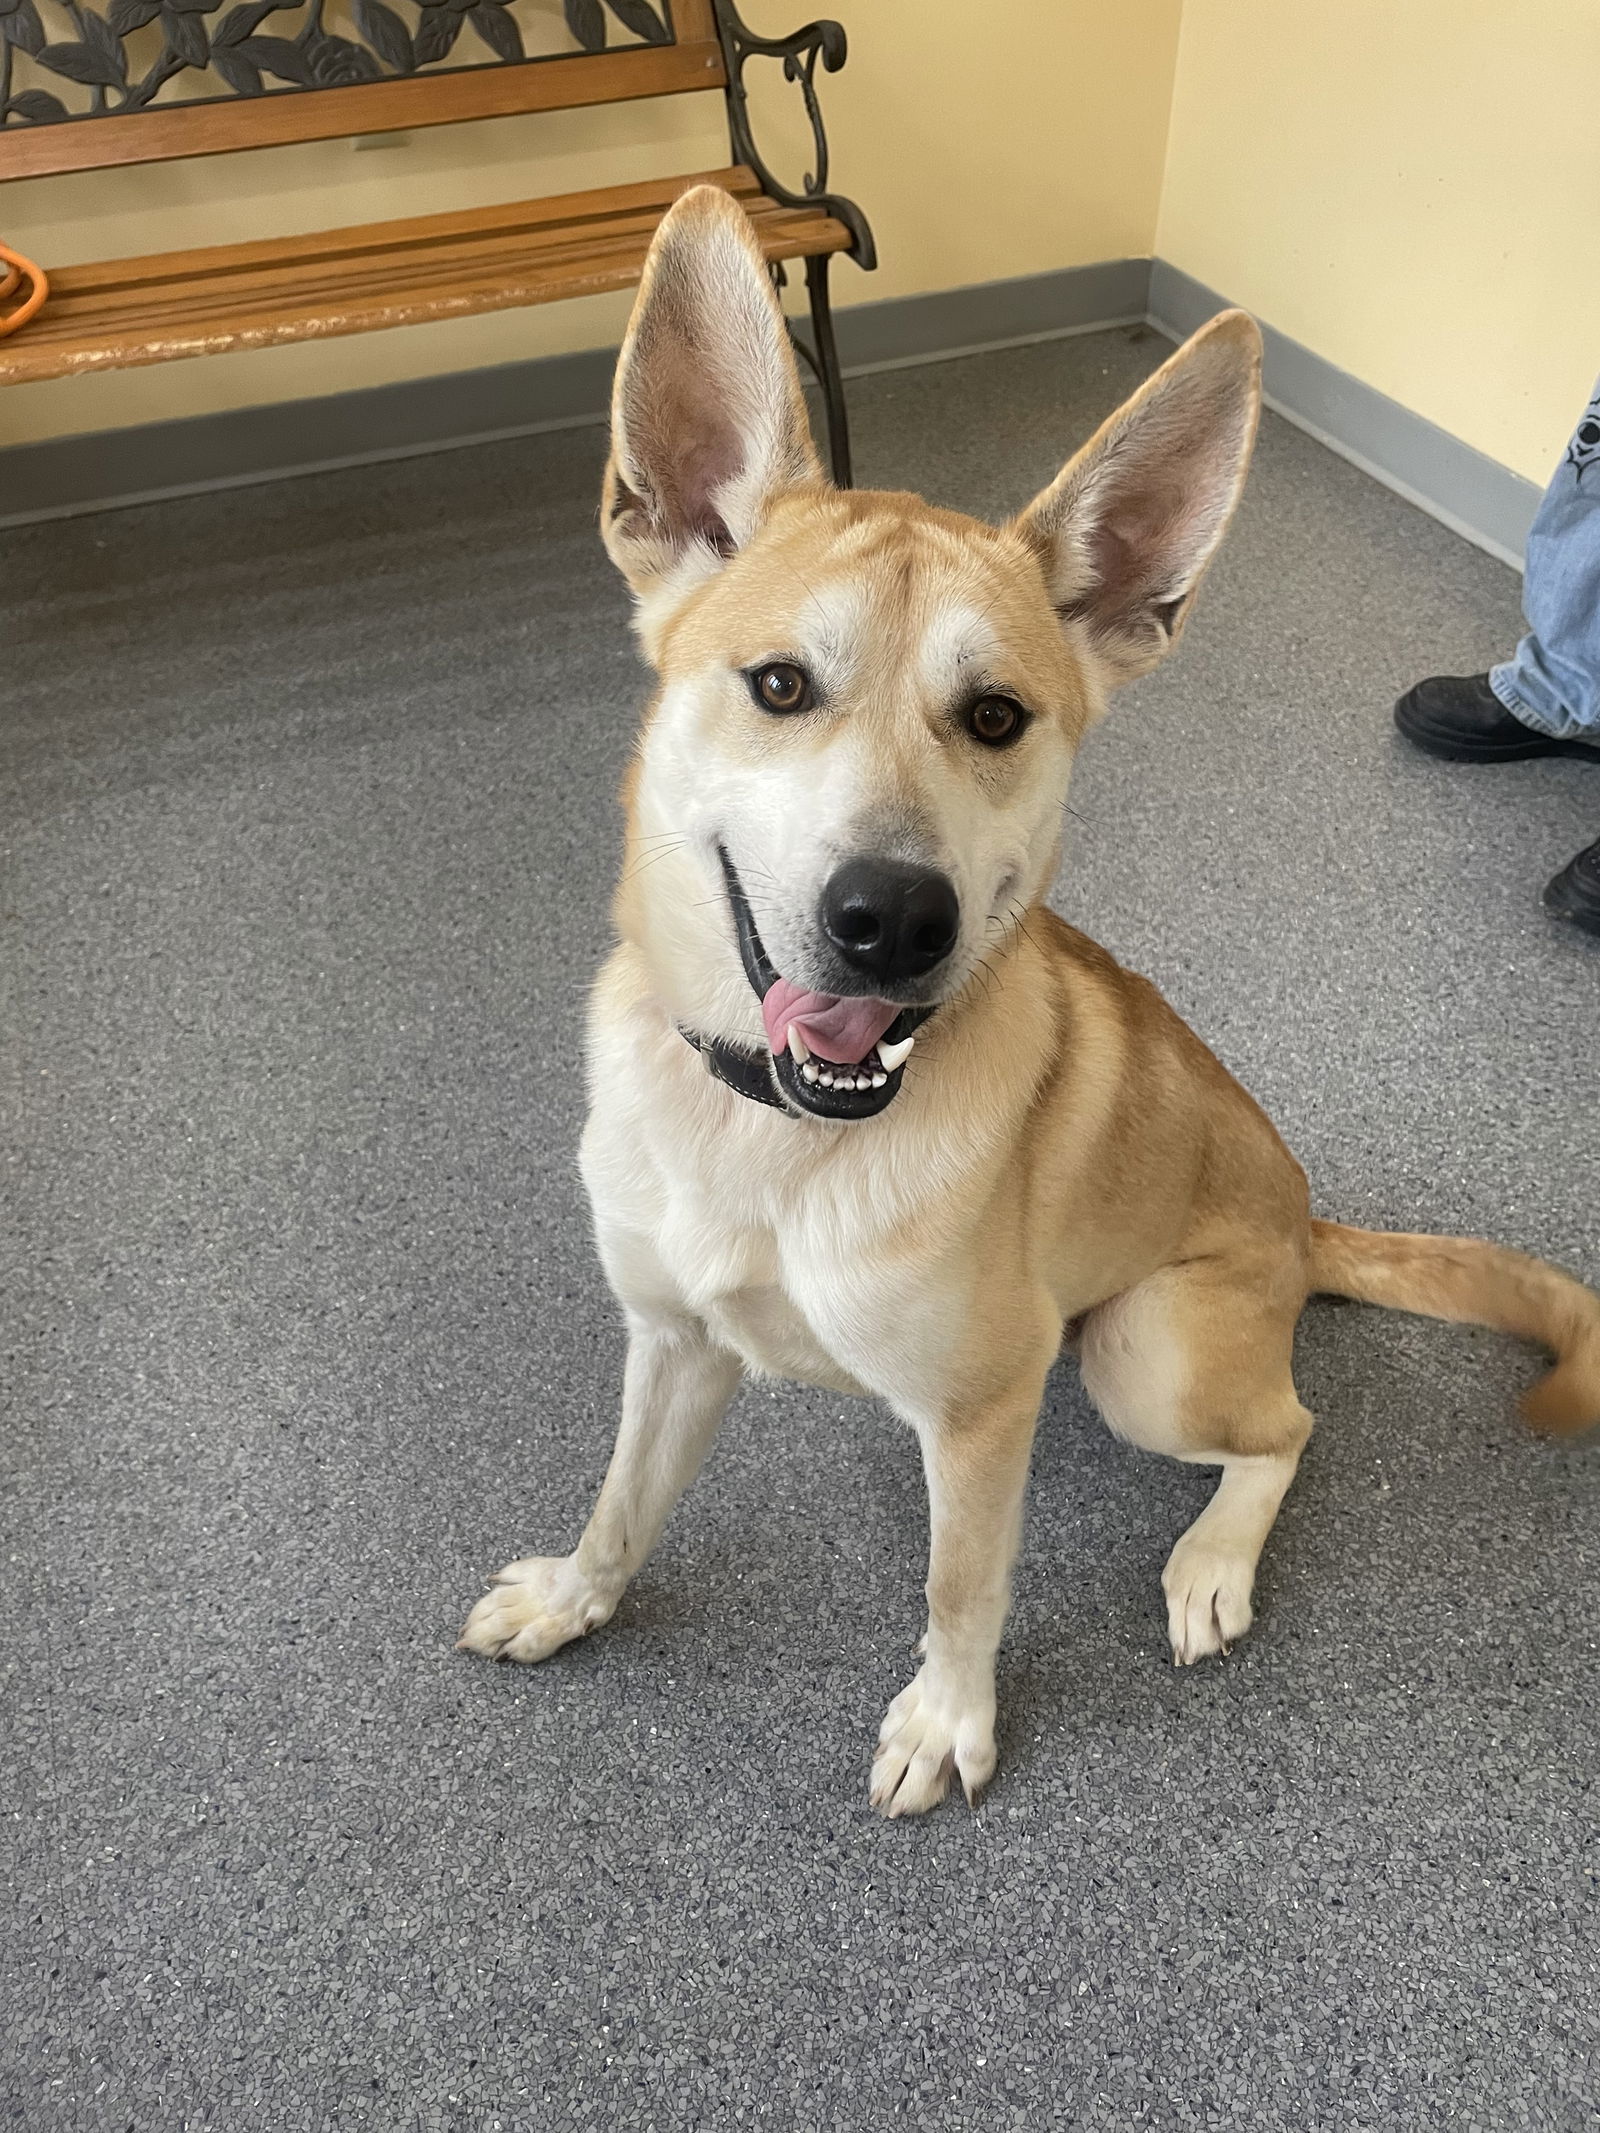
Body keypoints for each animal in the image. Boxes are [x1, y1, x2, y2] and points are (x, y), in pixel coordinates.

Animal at [456, 187, 1600, 1817]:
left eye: (996, 717)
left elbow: (960, 1586)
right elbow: (622, 1497)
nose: (892, 920)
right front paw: (575, 1595)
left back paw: (1210, 1561)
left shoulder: (982, 1419)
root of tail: (1306, 1225)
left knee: (1287, 1429)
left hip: (1146, 1356)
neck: (776, 1141)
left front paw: (949, 1718)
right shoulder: (669, 1340)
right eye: (779, 685)